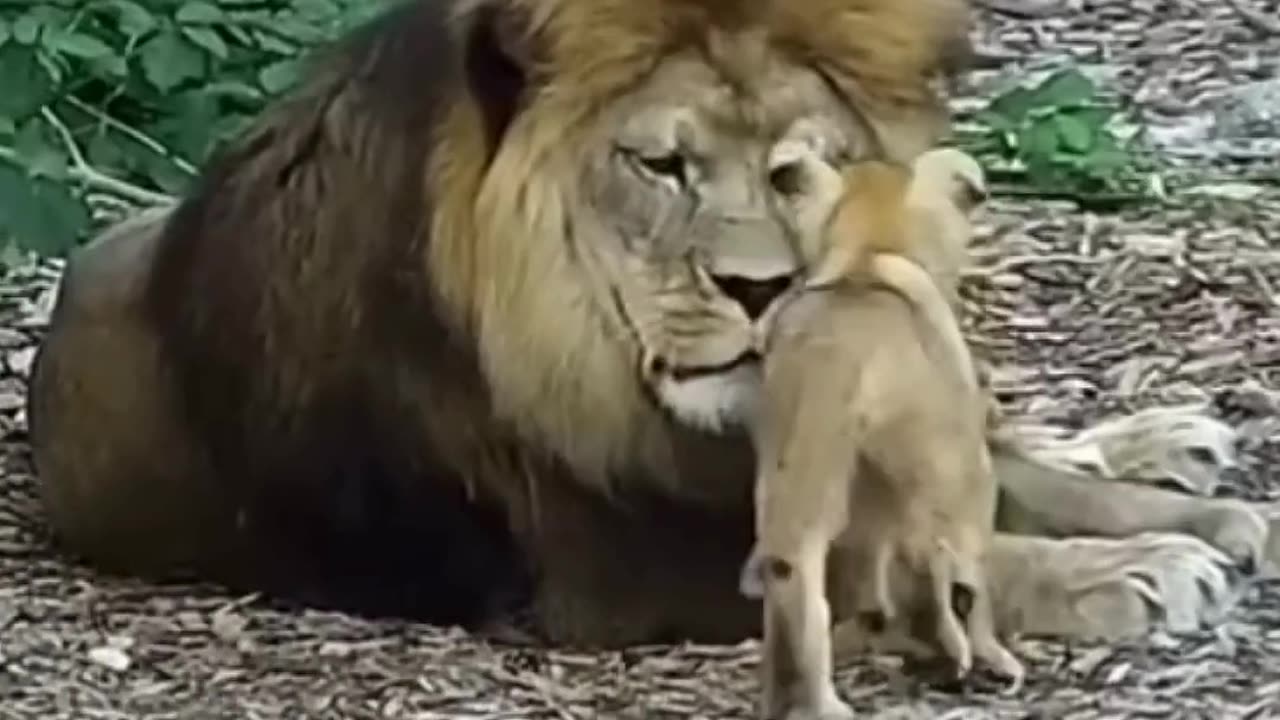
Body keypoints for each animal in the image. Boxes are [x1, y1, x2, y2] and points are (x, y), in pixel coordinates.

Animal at [24, 0, 1264, 645]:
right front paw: (1137, 566)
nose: (762, 290)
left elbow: (1014, 485)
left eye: (802, 169)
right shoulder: (611, 563)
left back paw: (1165, 442)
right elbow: (933, 548)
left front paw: (1190, 522)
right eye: (660, 166)